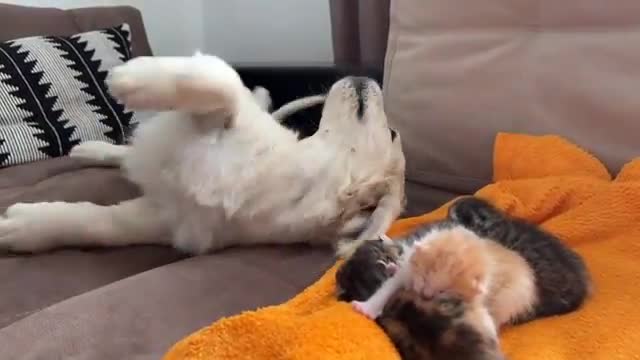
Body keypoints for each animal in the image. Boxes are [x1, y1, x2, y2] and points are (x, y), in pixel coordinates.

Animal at [0, 52, 404, 256]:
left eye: (392, 133)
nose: (370, 77)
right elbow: (222, 82)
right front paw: (135, 75)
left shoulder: (170, 220)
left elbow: (102, 225)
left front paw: (24, 226)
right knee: (128, 152)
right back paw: (91, 148)